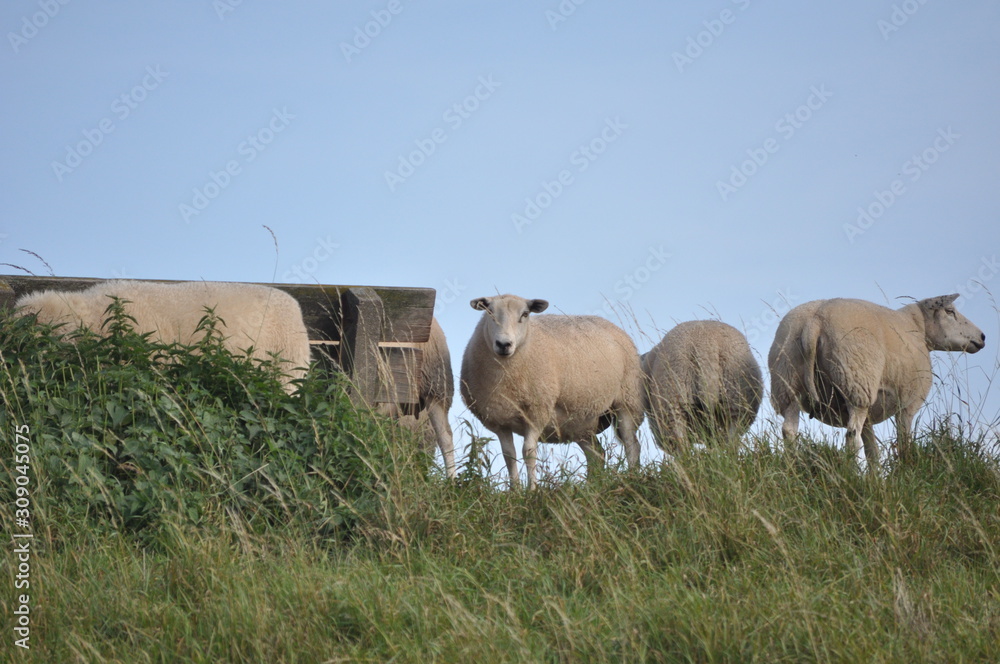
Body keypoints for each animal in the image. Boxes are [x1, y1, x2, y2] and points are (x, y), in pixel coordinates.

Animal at [460, 294, 644, 489]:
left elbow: (528, 451)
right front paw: (515, 490)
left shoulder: (537, 411)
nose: (504, 344)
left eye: (525, 314)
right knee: (597, 454)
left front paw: (532, 489)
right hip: (581, 421)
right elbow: (509, 456)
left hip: (627, 401)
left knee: (632, 445)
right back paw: (592, 486)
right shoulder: (499, 421)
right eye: (489, 312)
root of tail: (611, 325)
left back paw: (632, 478)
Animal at [768, 294, 985, 465]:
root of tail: (815, 321)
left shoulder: (871, 413)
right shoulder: (908, 403)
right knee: (851, 436)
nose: (982, 337)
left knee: (789, 430)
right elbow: (903, 442)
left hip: (787, 380)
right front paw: (905, 469)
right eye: (950, 311)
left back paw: (793, 468)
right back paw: (852, 474)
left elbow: (873, 451)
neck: (919, 327)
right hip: (856, 382)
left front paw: (876, 480)